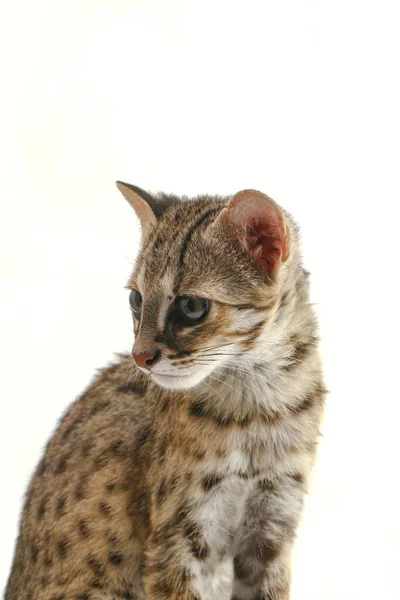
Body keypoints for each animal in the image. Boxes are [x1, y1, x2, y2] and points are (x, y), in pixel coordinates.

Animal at [5, 183, 324, 600]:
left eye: (192, 306)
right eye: (136, 299)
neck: (258, 404)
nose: (140, 358)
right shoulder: (176, 540)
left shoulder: (273, 525)